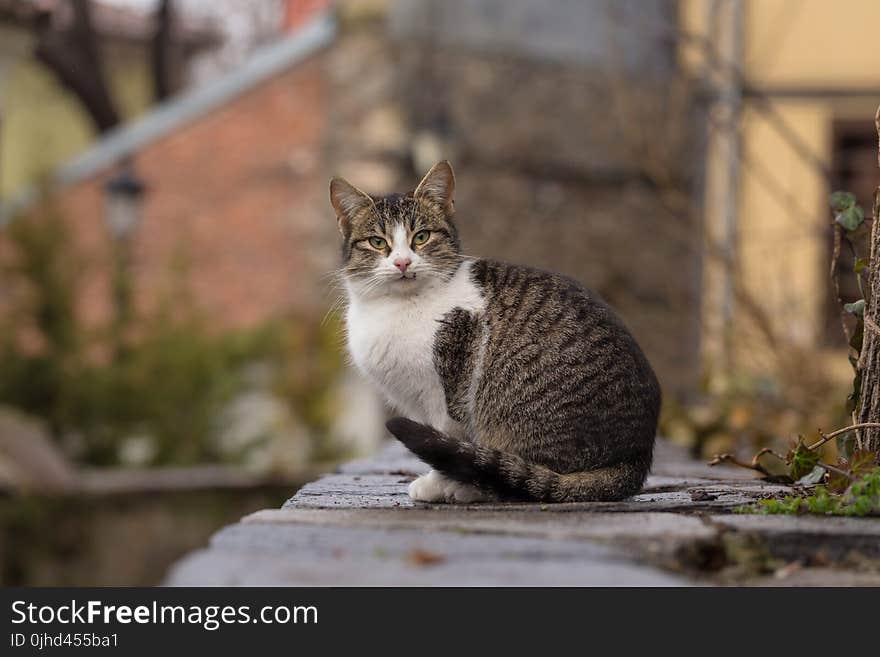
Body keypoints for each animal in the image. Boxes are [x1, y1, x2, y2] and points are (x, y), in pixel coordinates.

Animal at [330, 161, 660, 500]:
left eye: (420, 237)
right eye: (378, 242)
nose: (402, 263)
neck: (398, 306)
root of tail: (635, 458)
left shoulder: (446, 393)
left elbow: (447, 441)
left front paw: (437, 484)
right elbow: (445, 444)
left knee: (525, 476)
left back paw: (473, 488)